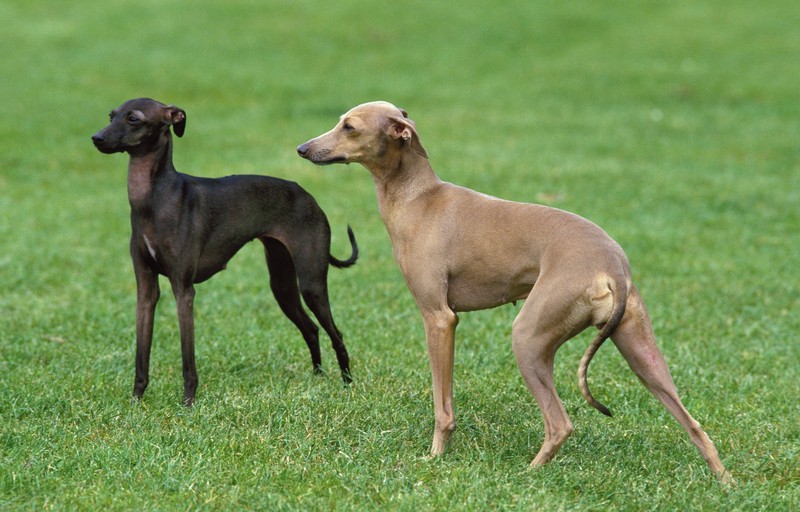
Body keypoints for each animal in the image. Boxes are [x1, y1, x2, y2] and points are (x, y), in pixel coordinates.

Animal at [92, 99, 358, 404]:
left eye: (134, 119)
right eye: (111, 116)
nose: (96, 138)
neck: (154, 199)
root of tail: (308, 196)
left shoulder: (184, 290)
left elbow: (187, 356)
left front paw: (188, 402)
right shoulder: (146, 289)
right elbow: (141, 353)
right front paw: (136, 399)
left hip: (311, 283)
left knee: (336, 333)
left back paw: (347, 382)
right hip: (282, 285)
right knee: (311, 329)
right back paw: (318, 378)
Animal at [298, 102, 732, 482]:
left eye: (349, 126)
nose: (302, 148)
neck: (419, 199)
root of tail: (613, 268)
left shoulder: (440, 318)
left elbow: (443, 406)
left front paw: (435, 457)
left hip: (529, 337)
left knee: (560, 423)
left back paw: (529, 474)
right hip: (640, 350)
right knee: (694, 424)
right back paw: (725, 482)